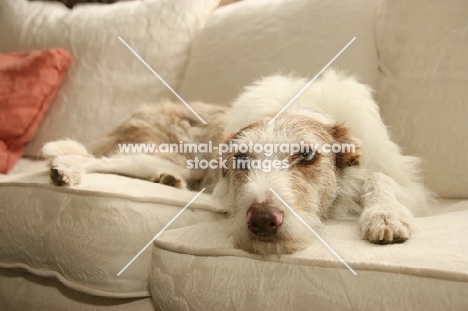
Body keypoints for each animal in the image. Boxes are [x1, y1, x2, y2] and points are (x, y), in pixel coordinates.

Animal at [42, 70, 430, 256]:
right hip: (170, 154)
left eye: (306, 155)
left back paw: (166, 181)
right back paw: (67, 167)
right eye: (242, 158)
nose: (262, 220)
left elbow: (379, 178)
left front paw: (384, 214)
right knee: (97, 159)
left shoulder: (397, 176)